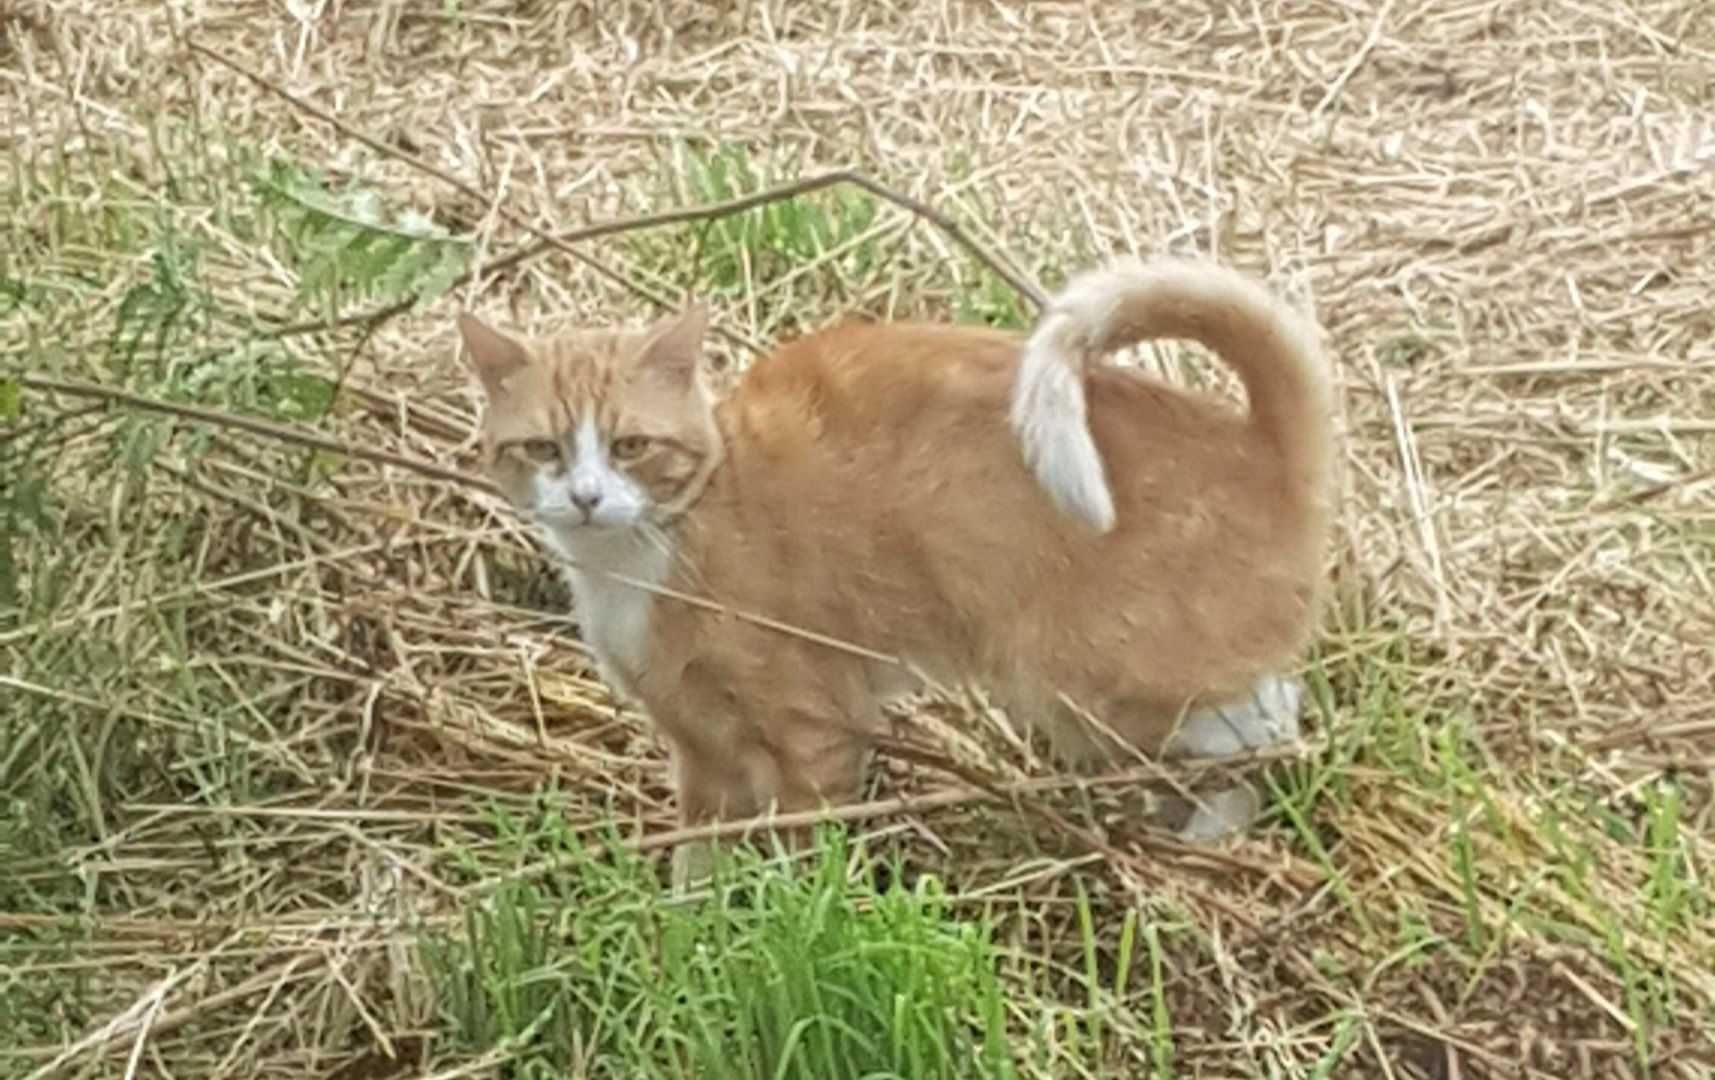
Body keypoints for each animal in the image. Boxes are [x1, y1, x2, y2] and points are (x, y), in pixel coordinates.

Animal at [463, 255, 1330, 877]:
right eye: (542, 449)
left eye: (630, 446)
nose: (584, 496)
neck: (638, 563)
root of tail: (1262, 444)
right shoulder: (699, 749)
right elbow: (694, 865)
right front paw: (689, 943)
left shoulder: (813, 726)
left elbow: (807, 860)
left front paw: (795, 926)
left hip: (1096, 682)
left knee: (1275, 723)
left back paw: (1214, 825)